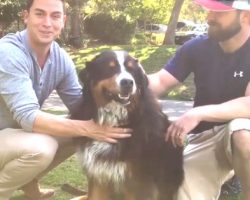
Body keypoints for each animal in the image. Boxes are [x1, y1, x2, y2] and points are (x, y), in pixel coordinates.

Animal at [70, 50, 184, 200]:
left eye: (132, 70)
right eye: (110, 68)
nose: (128, 82)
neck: (113, 119)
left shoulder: (137, 183)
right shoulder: (98, 176)